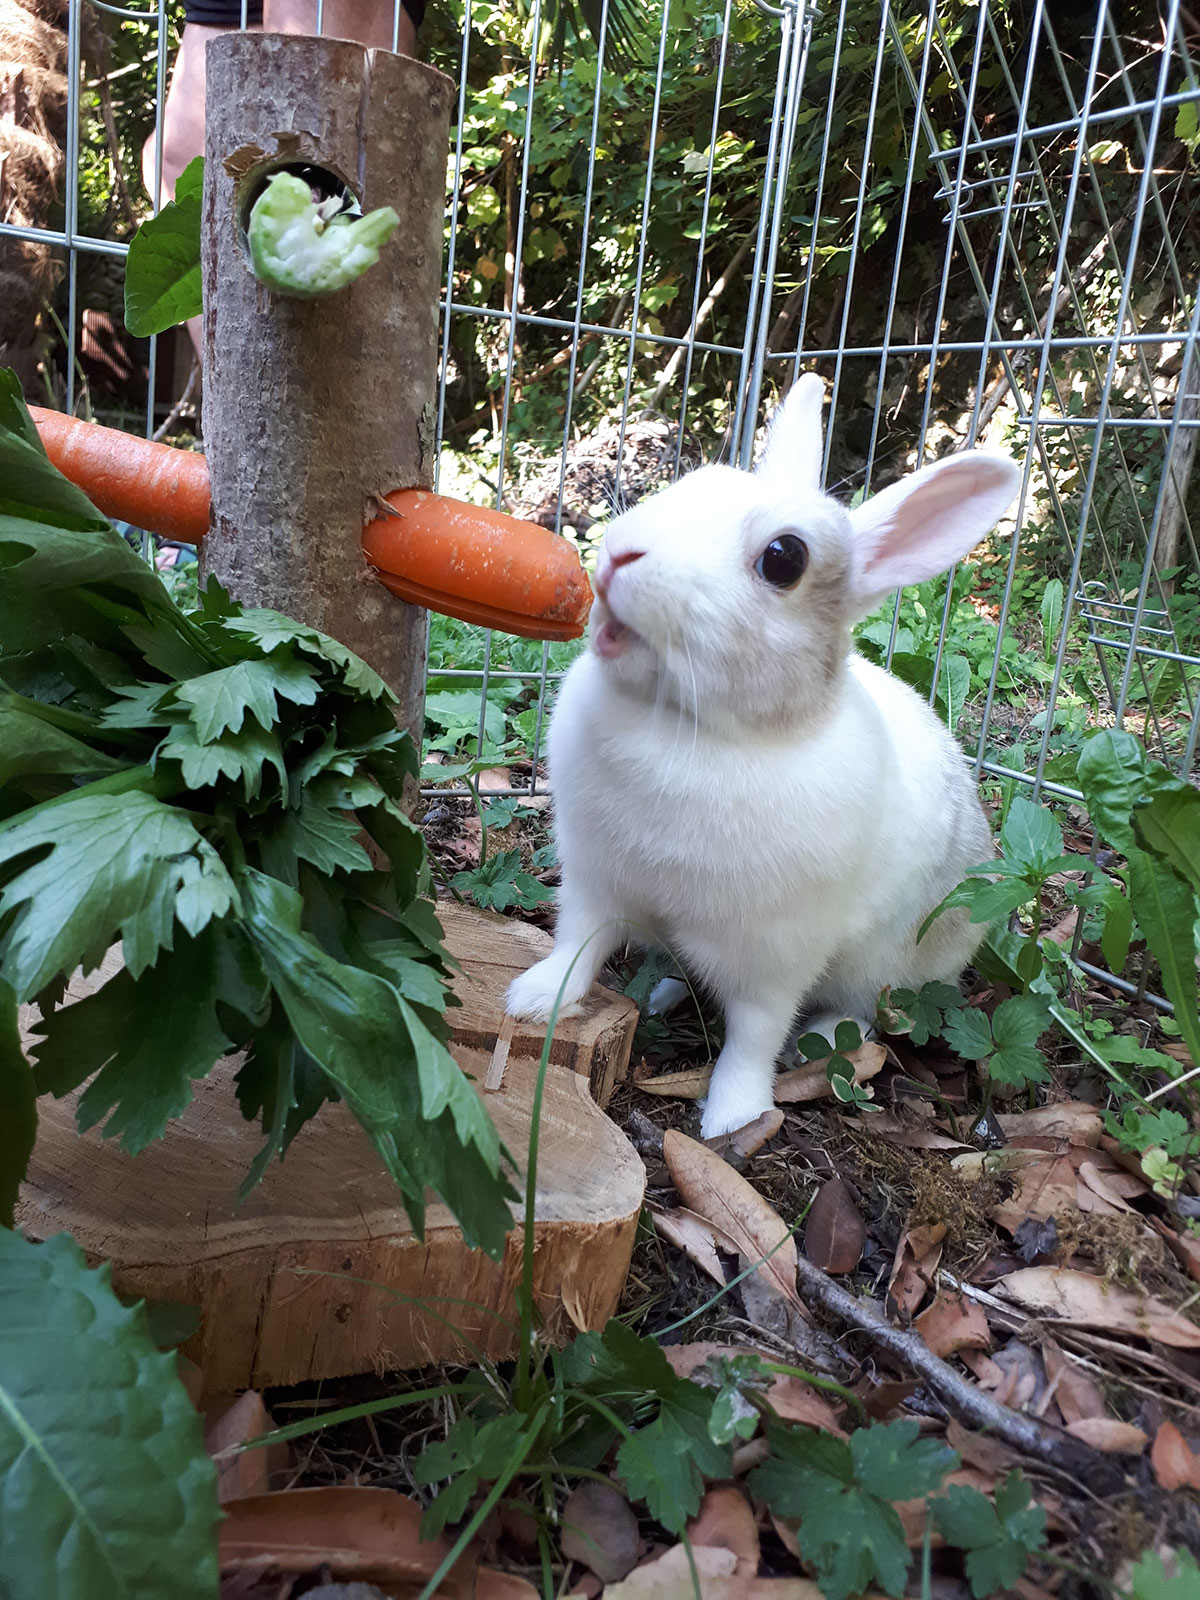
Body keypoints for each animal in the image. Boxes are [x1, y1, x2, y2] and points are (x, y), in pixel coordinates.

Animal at [508, 377, 1024, 1139]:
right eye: (695, 482)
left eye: (784, 558)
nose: (620, 554)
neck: (689, 727)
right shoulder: (594, 883)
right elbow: (577, 947)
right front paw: (534, 999)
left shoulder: (776, 956)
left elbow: (754, 1033)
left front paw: (732, 1118)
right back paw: (662, 992)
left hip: (884, 963)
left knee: (863, 1013)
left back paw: (819, 1041)